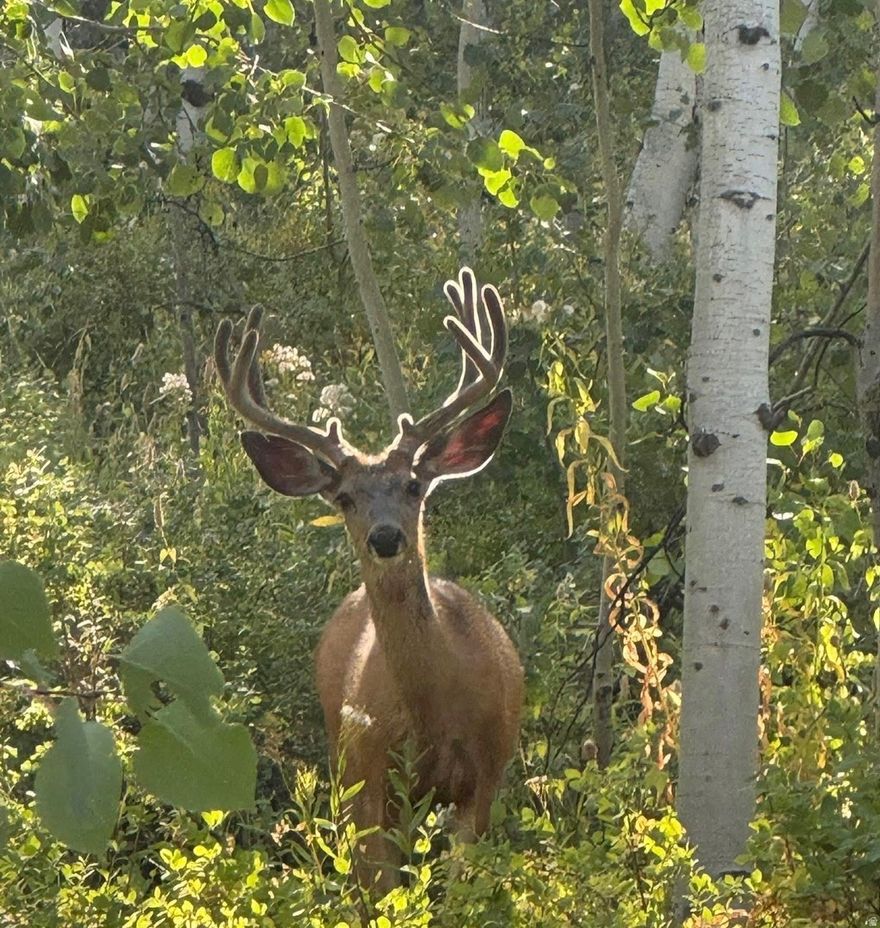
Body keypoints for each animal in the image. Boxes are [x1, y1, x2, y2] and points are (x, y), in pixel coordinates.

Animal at [214, 268, 524, 891]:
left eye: (414, 485)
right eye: (346, 498)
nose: (385, 537)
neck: (433, 713)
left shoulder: (486, 772)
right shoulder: (373, 771)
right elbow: (383, 888)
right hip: (344, 759)